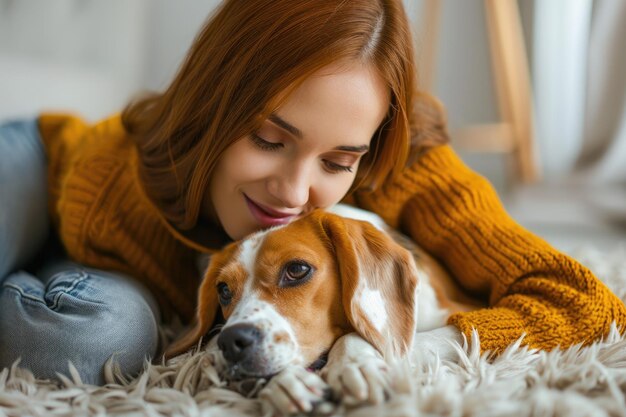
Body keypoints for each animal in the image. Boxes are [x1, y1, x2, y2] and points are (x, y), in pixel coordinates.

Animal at [165, 203, 478, 412]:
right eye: (224, 290)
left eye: (296, 270)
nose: (231, 342)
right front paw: (285, 383)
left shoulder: (464, 317)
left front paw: (354, 364)